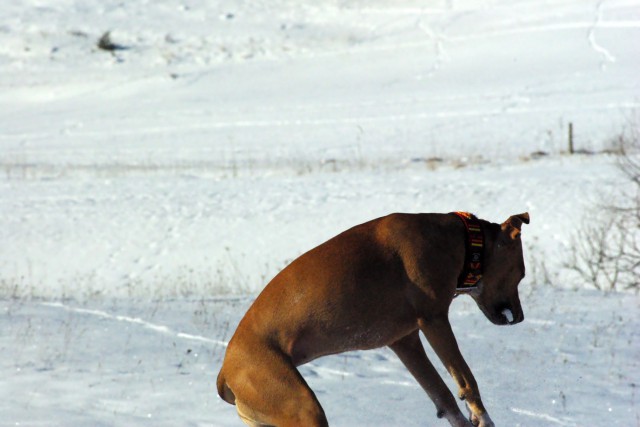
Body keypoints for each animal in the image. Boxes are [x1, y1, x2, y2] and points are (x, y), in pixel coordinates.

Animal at [218, 212, 528, 426]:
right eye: (522, 274)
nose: (520, 318)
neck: (463, 241)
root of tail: (226, 371)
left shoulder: (405, 342)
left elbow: (444, 396)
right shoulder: (435, 321)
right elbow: (466, 380)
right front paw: (483, 416)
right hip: (301, 404)